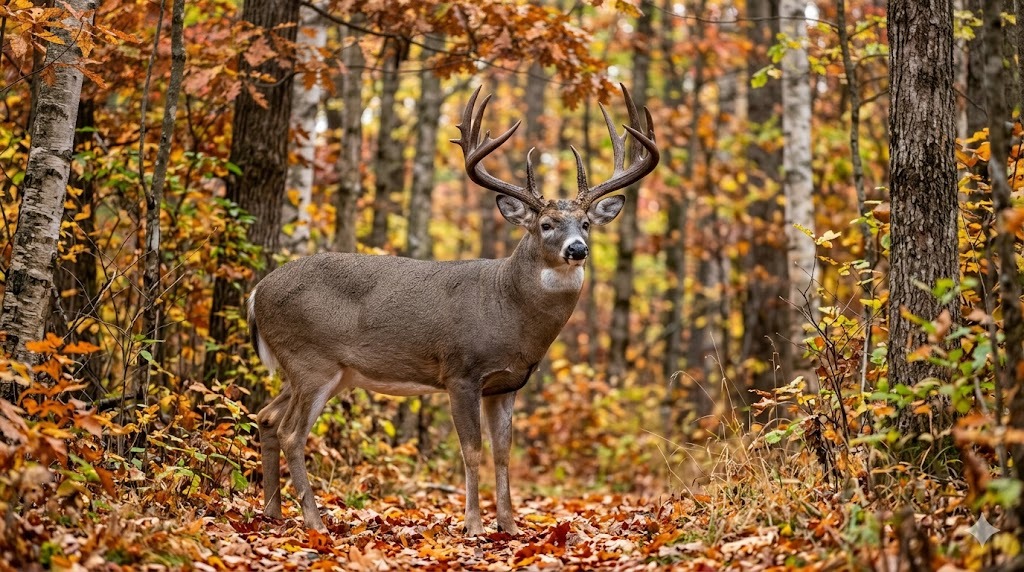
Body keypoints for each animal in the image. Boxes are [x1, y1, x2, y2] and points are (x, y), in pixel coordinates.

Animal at [247, 83, 658, 534]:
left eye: (585, 223)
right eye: (546, 224)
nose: (578, 249)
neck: (508, 309)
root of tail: (257, 291)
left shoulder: (507, 384)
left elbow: (502, 451)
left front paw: (510, 526)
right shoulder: (461, 371)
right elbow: (472, 449)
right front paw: (474, 526)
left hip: (322, 371)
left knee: (267, 417)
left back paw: (272, 512)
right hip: (310, 359)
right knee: (292, 432)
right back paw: (314, 521)